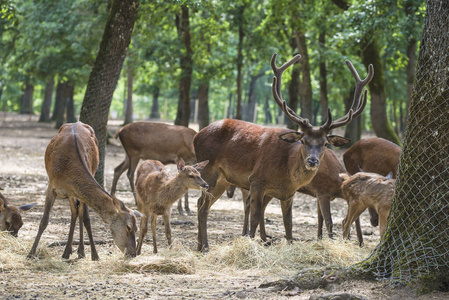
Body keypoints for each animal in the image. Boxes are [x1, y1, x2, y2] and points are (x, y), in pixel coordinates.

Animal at [28, 122, 140, 260]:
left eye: (137, 228)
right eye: (129, 227)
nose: (133, 253)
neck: (67, 170)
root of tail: (78, 122)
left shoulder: (78, 190)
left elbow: (86, 218)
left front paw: (94, 254)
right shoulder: (52, 185)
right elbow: (44, 221)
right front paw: (30, 253)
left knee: (78, 213)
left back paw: (77, 251)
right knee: (74, 212)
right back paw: (67, 252)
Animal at [192, 53, 372, 251]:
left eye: (325, 143)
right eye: (303, 140)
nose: (312, 161)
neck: (286, 170)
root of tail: (196, 135)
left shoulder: (289, 193)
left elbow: (288, 222)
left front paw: (289, 243)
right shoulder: (256, 181)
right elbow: (255, 216)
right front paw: (251, 244)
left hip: (224, 178)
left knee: (202, 204)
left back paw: (201, 246)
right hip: (208, 169)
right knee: (202, 204)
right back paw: (205, 246)